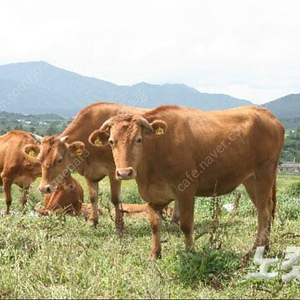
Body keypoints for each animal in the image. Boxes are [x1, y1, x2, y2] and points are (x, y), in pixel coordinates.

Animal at [88, 105, 284, 258]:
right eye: (111, 141)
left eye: (138, 139)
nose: (124, 172)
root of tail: (267, 114)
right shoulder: (153, 195)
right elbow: (154, 224)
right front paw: (154, 254)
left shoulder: (187, 189)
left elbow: (186, 225)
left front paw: (190, 252)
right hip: (251, 180)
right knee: (266, 209)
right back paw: (264, 247)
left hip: (264, 174)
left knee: (263, 213)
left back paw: (255, 249)